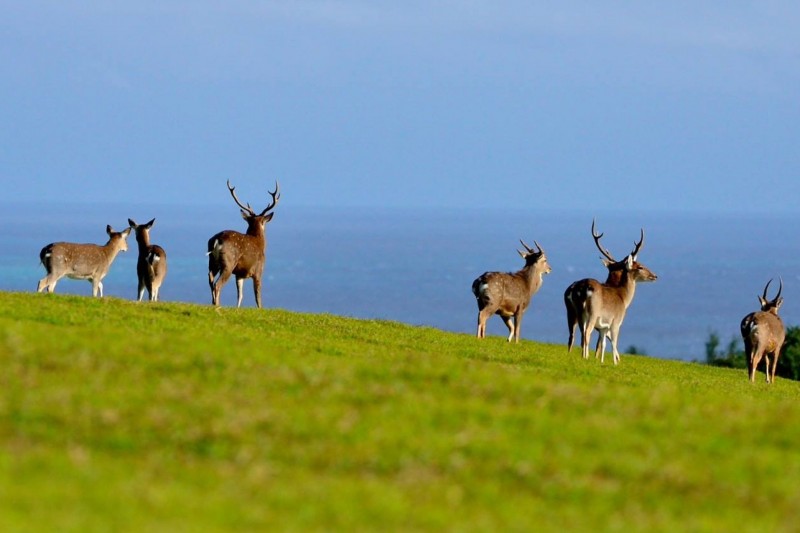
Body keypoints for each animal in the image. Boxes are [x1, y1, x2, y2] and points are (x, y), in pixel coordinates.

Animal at [209, 180, 282, 308]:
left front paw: (237, 309)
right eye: (264, 223)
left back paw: (213, 304)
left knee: (210, 281)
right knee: (217, 285)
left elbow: (240, 296)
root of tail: (217, 240)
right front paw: (260, 309)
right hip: (228, 263)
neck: (260, 243)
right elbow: (258, 298)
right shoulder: (258, 271)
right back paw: (218, 306)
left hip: (212, 262)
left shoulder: (239, 275)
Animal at [564, 218, 656, 364]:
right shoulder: (616, 321)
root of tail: (581, 288)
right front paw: (615, 362)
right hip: (592, 312)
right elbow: (613, 343)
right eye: (640, 266)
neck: (623, 297)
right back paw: (586, 357)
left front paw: (602, 361)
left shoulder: (603, 326)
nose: (655, 276)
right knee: (587, 333)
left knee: (575, 335)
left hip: (575, 313)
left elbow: (603, 343)